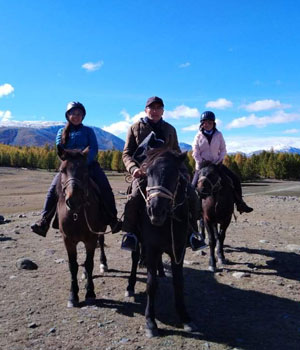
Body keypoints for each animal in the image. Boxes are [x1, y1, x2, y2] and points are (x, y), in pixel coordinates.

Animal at [56, 146, 108, 308]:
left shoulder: (91, 238)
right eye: (62, 170)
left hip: (101, 230)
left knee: (101, 243)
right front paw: (73, 295)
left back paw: (103, 264)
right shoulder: (68, 240)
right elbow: (73, 266)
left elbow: (89, 263)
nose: (73, 200)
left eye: (85, 171)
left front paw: (90, 292)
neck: (76, 214)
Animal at [132, 149, 196, 338]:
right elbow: (150, 284)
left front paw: (185, 317)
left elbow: (179, 282)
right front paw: (151, 322)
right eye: (147, 173)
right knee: (135, 259)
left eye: (175, 174)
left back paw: (161, 271)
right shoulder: (151, 248)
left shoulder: (179, 249)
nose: (155, 211)